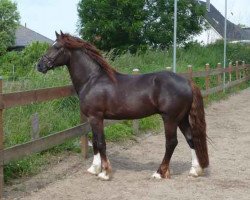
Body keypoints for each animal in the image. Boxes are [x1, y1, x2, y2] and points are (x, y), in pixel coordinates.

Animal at [37, 30, 209, 180]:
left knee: (171, 143)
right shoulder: (93, 119)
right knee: (191, 139)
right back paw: (195, 170)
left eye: (56, 47)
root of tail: (186, 81)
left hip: (170, 119)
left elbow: (101, 143)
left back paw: (159, 173)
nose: (39, 65)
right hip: (182, 118)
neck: (92, 79)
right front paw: (94, 168)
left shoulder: (96, 117)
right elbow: (95, 142)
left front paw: (105, 173)